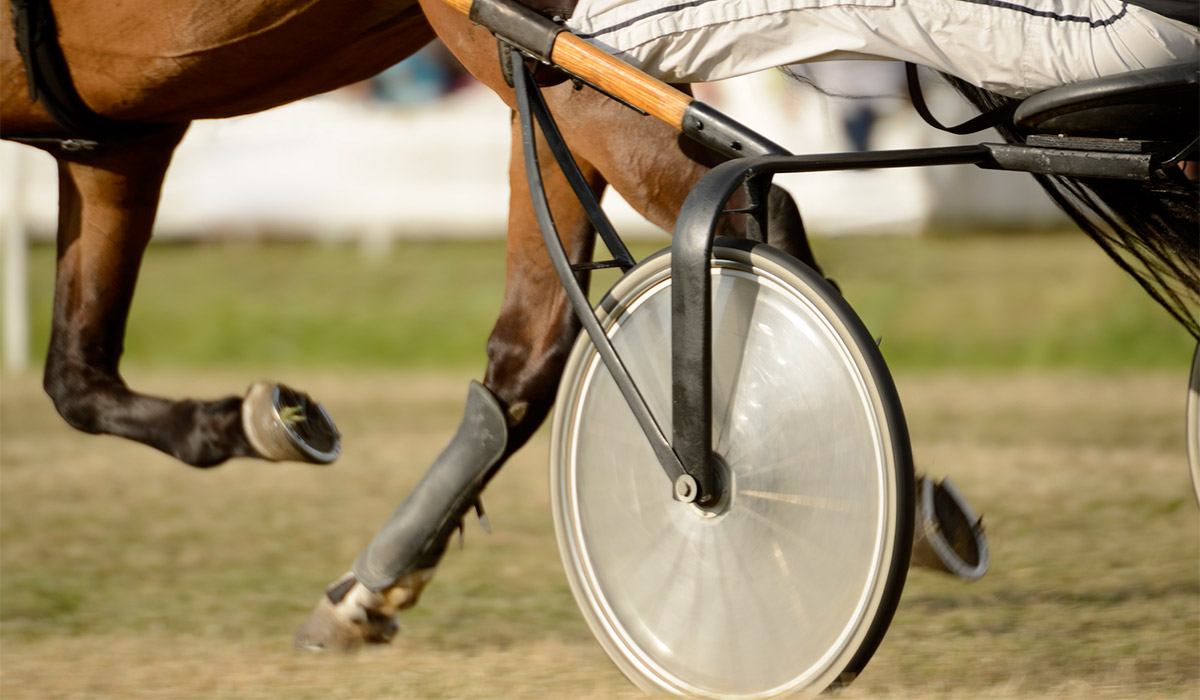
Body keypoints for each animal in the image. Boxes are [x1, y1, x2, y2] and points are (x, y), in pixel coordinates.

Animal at [1, 0, 818, 650]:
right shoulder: (118, 147)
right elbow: (76, 377)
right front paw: (253, 421)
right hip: (536, 86)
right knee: (526, 354)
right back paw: (374, 581)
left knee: (750, 208)